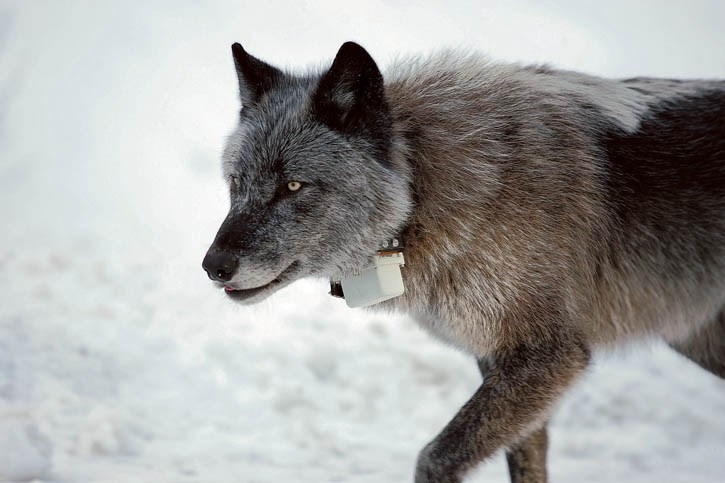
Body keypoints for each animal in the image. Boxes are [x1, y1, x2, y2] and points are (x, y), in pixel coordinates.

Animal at [199, 42, 724, 483]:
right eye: (236, 182)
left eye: (293, 185)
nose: (213, 266)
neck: (425, 189)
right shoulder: (502, 363)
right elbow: (525, 464)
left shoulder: (550, 357)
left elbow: (436, 457)